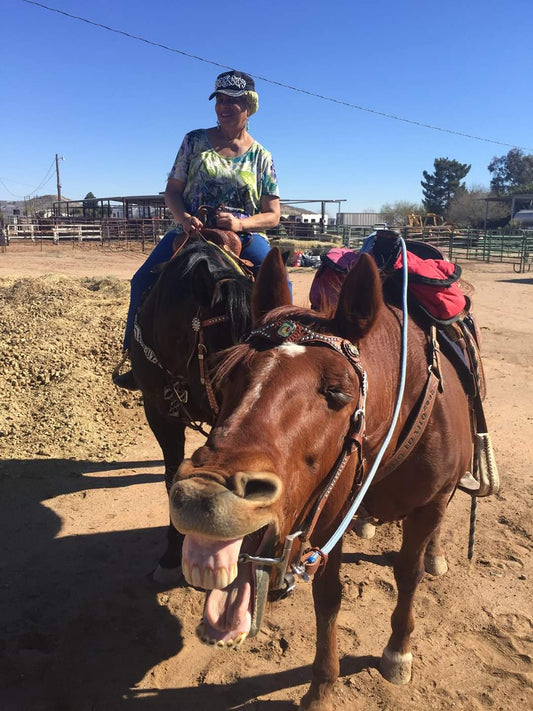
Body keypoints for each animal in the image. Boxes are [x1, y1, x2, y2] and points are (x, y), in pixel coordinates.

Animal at [168, 247, 474, 710]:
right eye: (225, 379)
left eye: (338, 393)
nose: (202, 496)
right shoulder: (331, 515)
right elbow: (328, 596)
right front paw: (322, 687)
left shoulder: (428, 505)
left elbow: (408, 574)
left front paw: (398, 652)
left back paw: (434, 554)